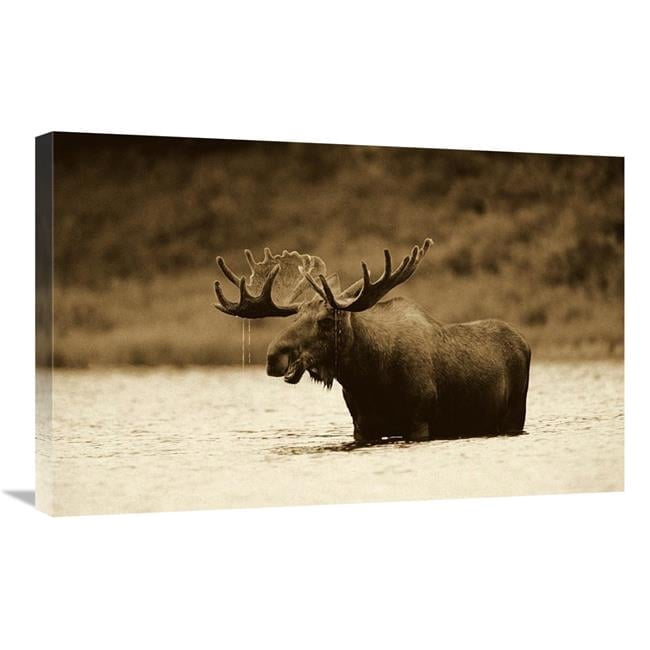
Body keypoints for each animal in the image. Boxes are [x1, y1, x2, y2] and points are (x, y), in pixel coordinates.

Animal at [214, 239, 531, 444]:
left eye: (327, 321)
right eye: (295, 317)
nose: (273, 357)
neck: (369, 379)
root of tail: (524, 342)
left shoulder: (419, 421)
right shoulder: (362, 425)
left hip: (515, 413)